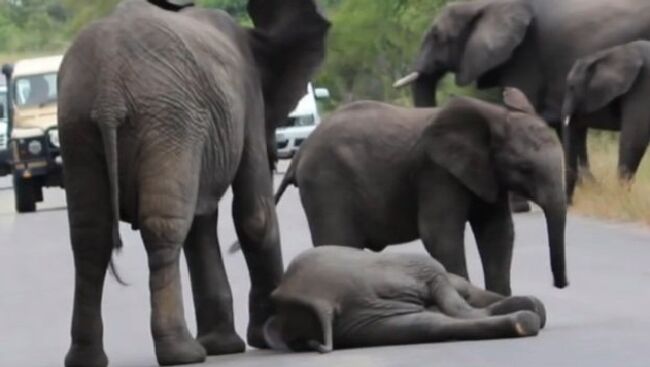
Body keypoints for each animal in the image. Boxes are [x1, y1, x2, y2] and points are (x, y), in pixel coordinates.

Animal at [57, 0, 330, 367]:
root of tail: (108, 91)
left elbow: (202, 222)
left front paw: (223, 346)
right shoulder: (247, 100)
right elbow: (255, 215)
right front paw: (269, 340)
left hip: (78, 125)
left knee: (90, 237)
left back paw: (86, 359)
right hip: (168, 120)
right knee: (163, 228)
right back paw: (182, 353)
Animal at [274, 90, 568, 300]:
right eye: (525, 168)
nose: (560, 284)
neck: (493, 115)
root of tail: (300, 152)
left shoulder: (487, 174)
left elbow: (497, 232)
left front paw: (501, 301)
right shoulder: (436, 172)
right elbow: (440, 234)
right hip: (325, 183)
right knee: (338, 243)